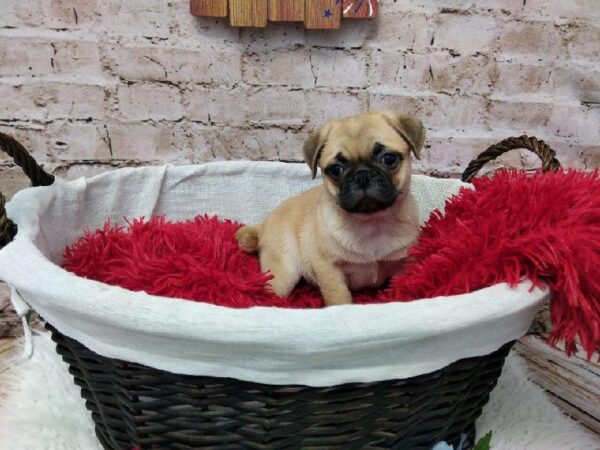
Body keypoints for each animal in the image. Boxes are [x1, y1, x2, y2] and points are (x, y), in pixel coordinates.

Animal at [237, 110, 424, 306]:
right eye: (336, 170)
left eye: (389, 159)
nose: (362, 175)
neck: (372, 222)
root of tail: (263, 226)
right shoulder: (330, 271)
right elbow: (339, 299)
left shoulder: (403, 263)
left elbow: (403, 286)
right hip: (283, 273)